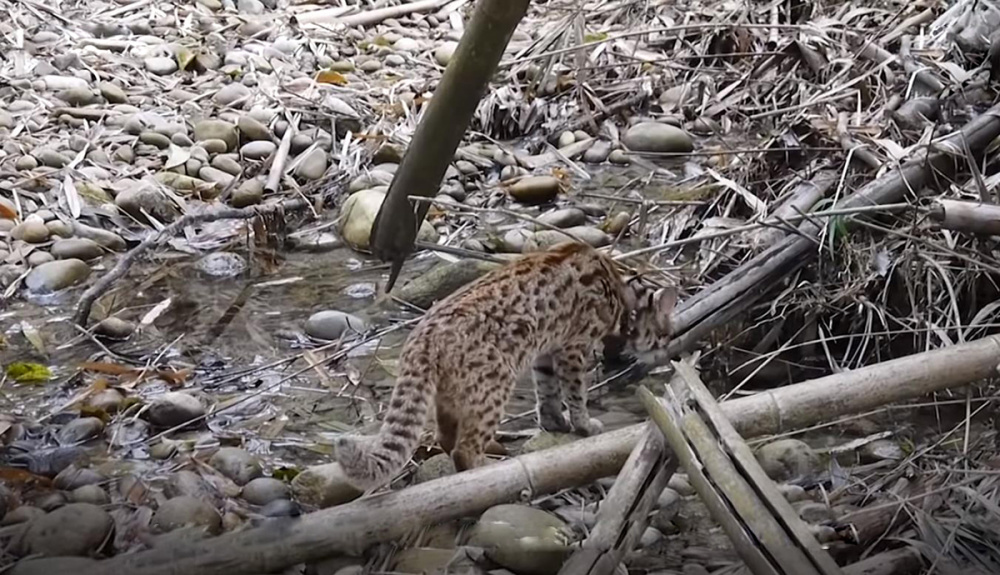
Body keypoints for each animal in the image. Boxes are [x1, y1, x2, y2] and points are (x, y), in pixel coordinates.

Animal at [338, 242, 680, 490]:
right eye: (665, 335)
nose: (667, 353)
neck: (622, 294)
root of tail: (421, 338)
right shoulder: (573, 347)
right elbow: (574, 392)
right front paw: (583, 424)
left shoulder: (546, 351)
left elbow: (547, 391)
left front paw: (555, 421)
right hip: (494, 387)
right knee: (464, 447)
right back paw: (486, 472)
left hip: (451, 394)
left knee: (445, 438)